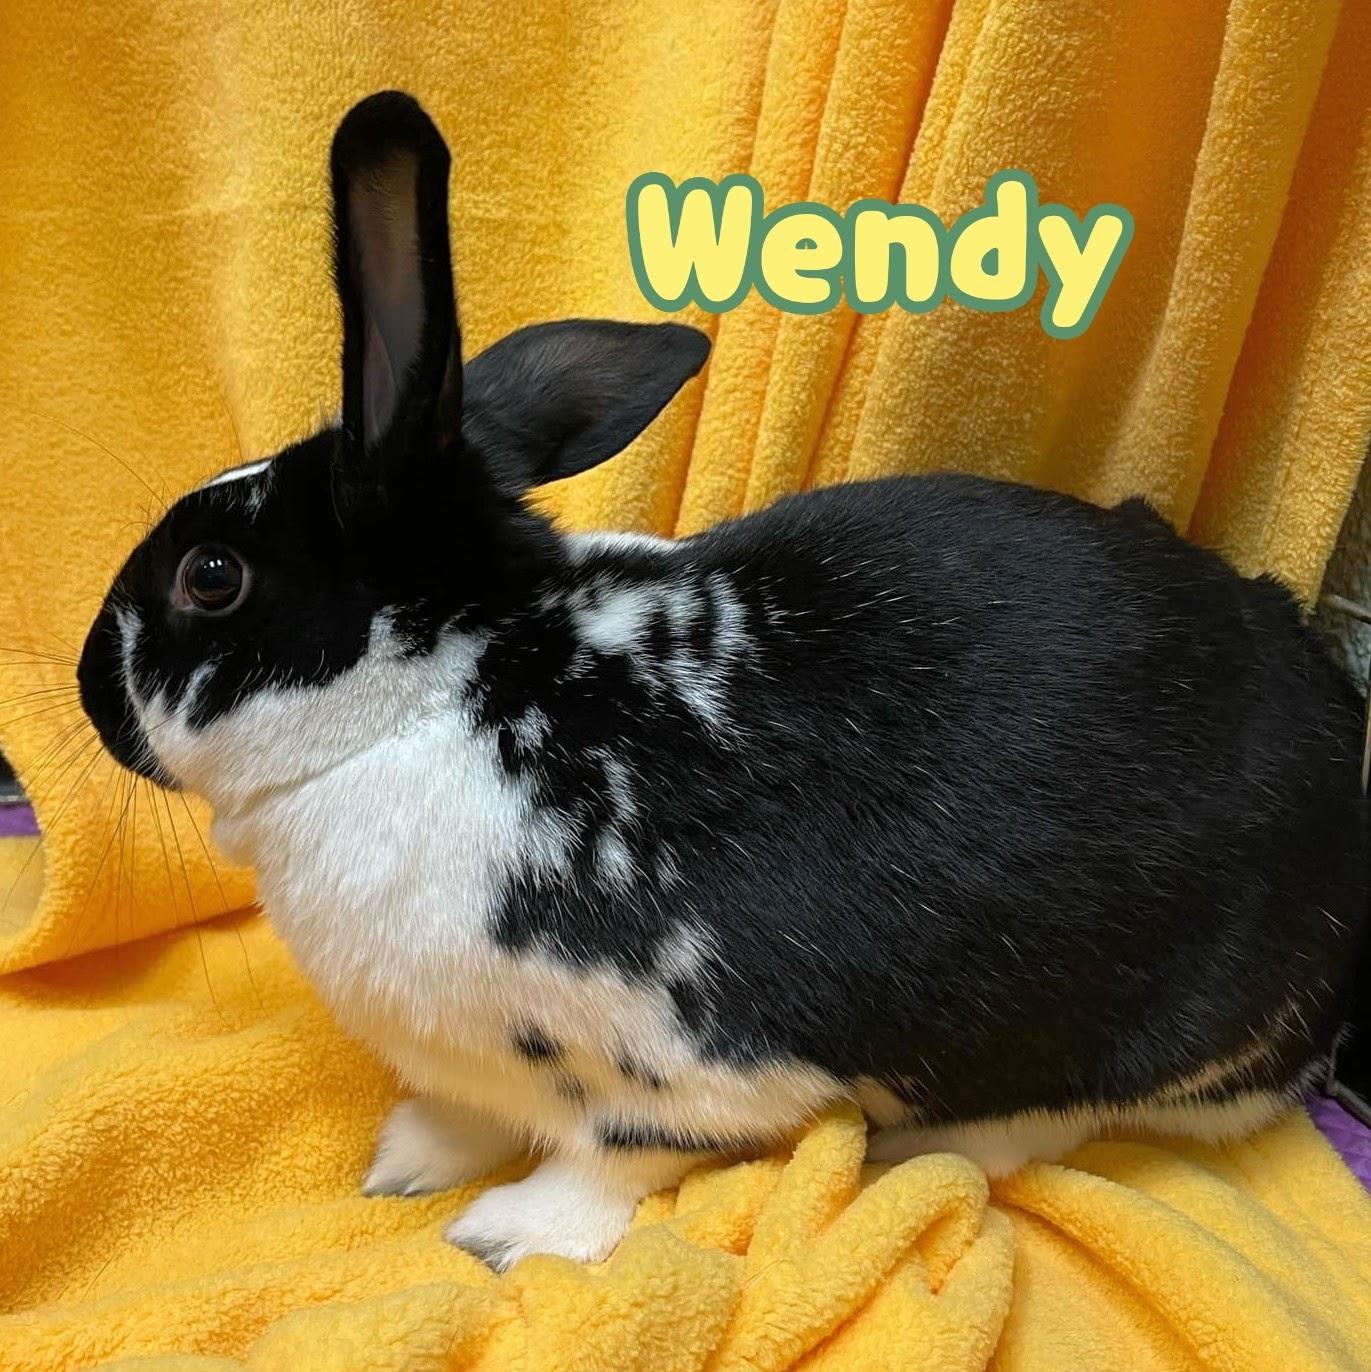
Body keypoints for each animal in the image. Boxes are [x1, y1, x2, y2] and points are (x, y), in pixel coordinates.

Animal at [77, 91, 1368, 1271]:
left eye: (210, 575)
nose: (90, 691)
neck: (448, 687)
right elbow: (469, 1111)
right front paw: (406, 1161)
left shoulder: (683, 1064)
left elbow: (612, 1158)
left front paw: (503, 1235)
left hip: (1120, 1036)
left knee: (1057, 1118)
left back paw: (915, 1150)